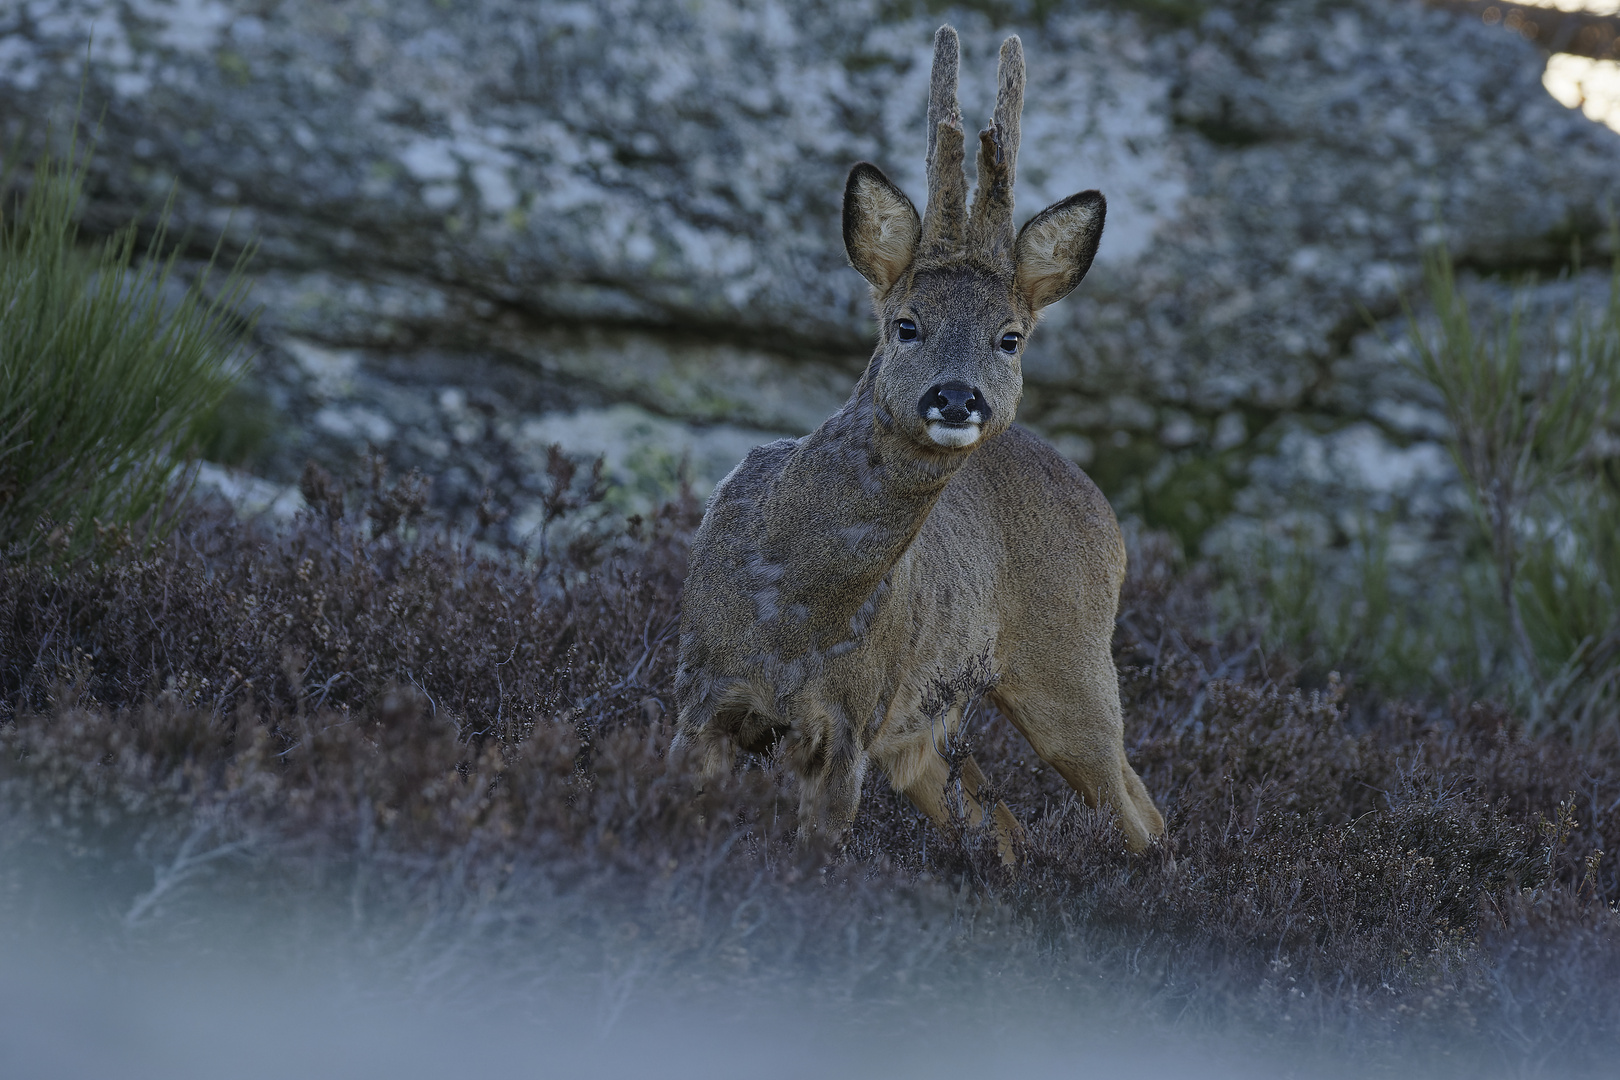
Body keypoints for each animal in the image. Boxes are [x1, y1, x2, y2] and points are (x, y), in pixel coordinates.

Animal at [670, 25, 1166, 854]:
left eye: (1010, 338)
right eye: (906, 324)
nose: (957, 396)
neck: (791, 613)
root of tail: (1105, 512)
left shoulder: (851, 723)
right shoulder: (701, 693)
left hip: (1071, 666)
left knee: (1140, 813)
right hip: (930, 729)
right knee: (1006, 825)